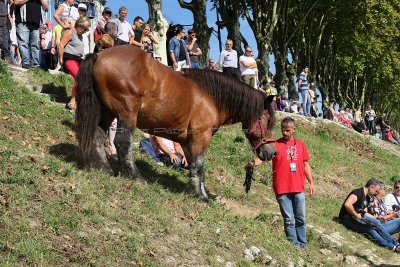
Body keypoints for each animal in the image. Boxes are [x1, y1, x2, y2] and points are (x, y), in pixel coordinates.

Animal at [75, 45, 276, 201]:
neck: (210, 96)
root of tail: (99, 55)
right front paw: (201, 196)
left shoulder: (188, 141)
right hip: (126, 113)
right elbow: (199, 166)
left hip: (106, 112)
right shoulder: (201, 138)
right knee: (122, 142)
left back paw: (104, 168)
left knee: (97, 136)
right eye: (267, 120)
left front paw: (196, 191)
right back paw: (135, 176)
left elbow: (195, 166)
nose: (272, 152)